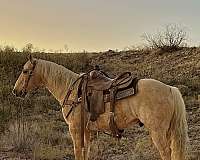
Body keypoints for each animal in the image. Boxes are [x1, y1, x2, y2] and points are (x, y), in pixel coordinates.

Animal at [12, 56, 188, 160]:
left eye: (25, 71)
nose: (15, 91)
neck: (72, 90)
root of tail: (170, 89)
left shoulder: (75, 129)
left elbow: (78, 152)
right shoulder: (86, 130)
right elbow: (86, 152)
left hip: (158, 132)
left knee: (166, 153)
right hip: (169, 131)